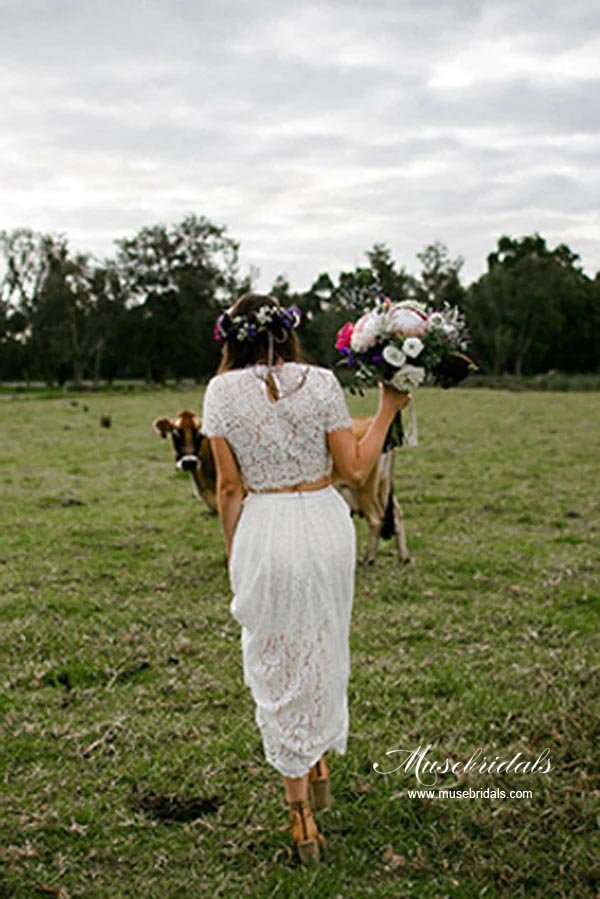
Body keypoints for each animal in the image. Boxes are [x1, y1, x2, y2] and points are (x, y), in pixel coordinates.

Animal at [152, 412, 410, 568]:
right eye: (175, 433)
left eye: (199, 433)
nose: (188, 462)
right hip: (382, 488)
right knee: (396, 514)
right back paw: (403, 557)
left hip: (365, 489)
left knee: (376, 519)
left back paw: (368, 559)